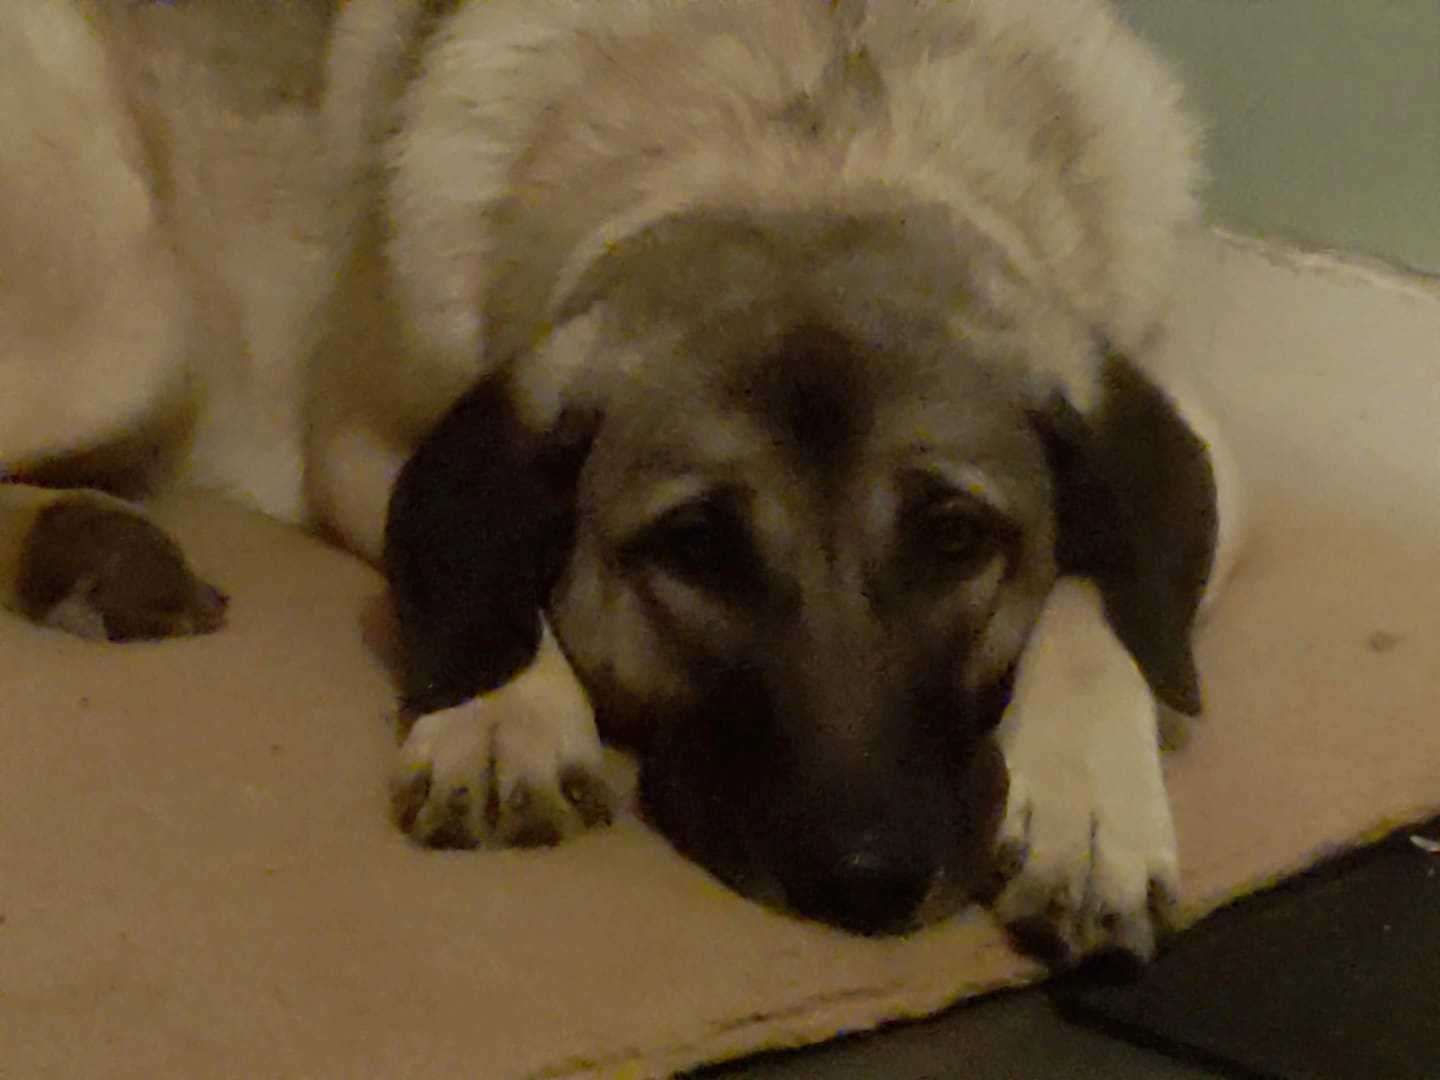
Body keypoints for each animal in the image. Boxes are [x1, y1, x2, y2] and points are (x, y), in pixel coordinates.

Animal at [0, 0, 1238, 961]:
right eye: (694, 546)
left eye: (956, 539)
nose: (867, 879)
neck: (808, 139)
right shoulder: (358, 440)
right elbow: (490, 573)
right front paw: (503, 712)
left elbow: (1109, 597)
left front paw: (1087, 799)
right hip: (129, 315)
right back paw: (92, 550)